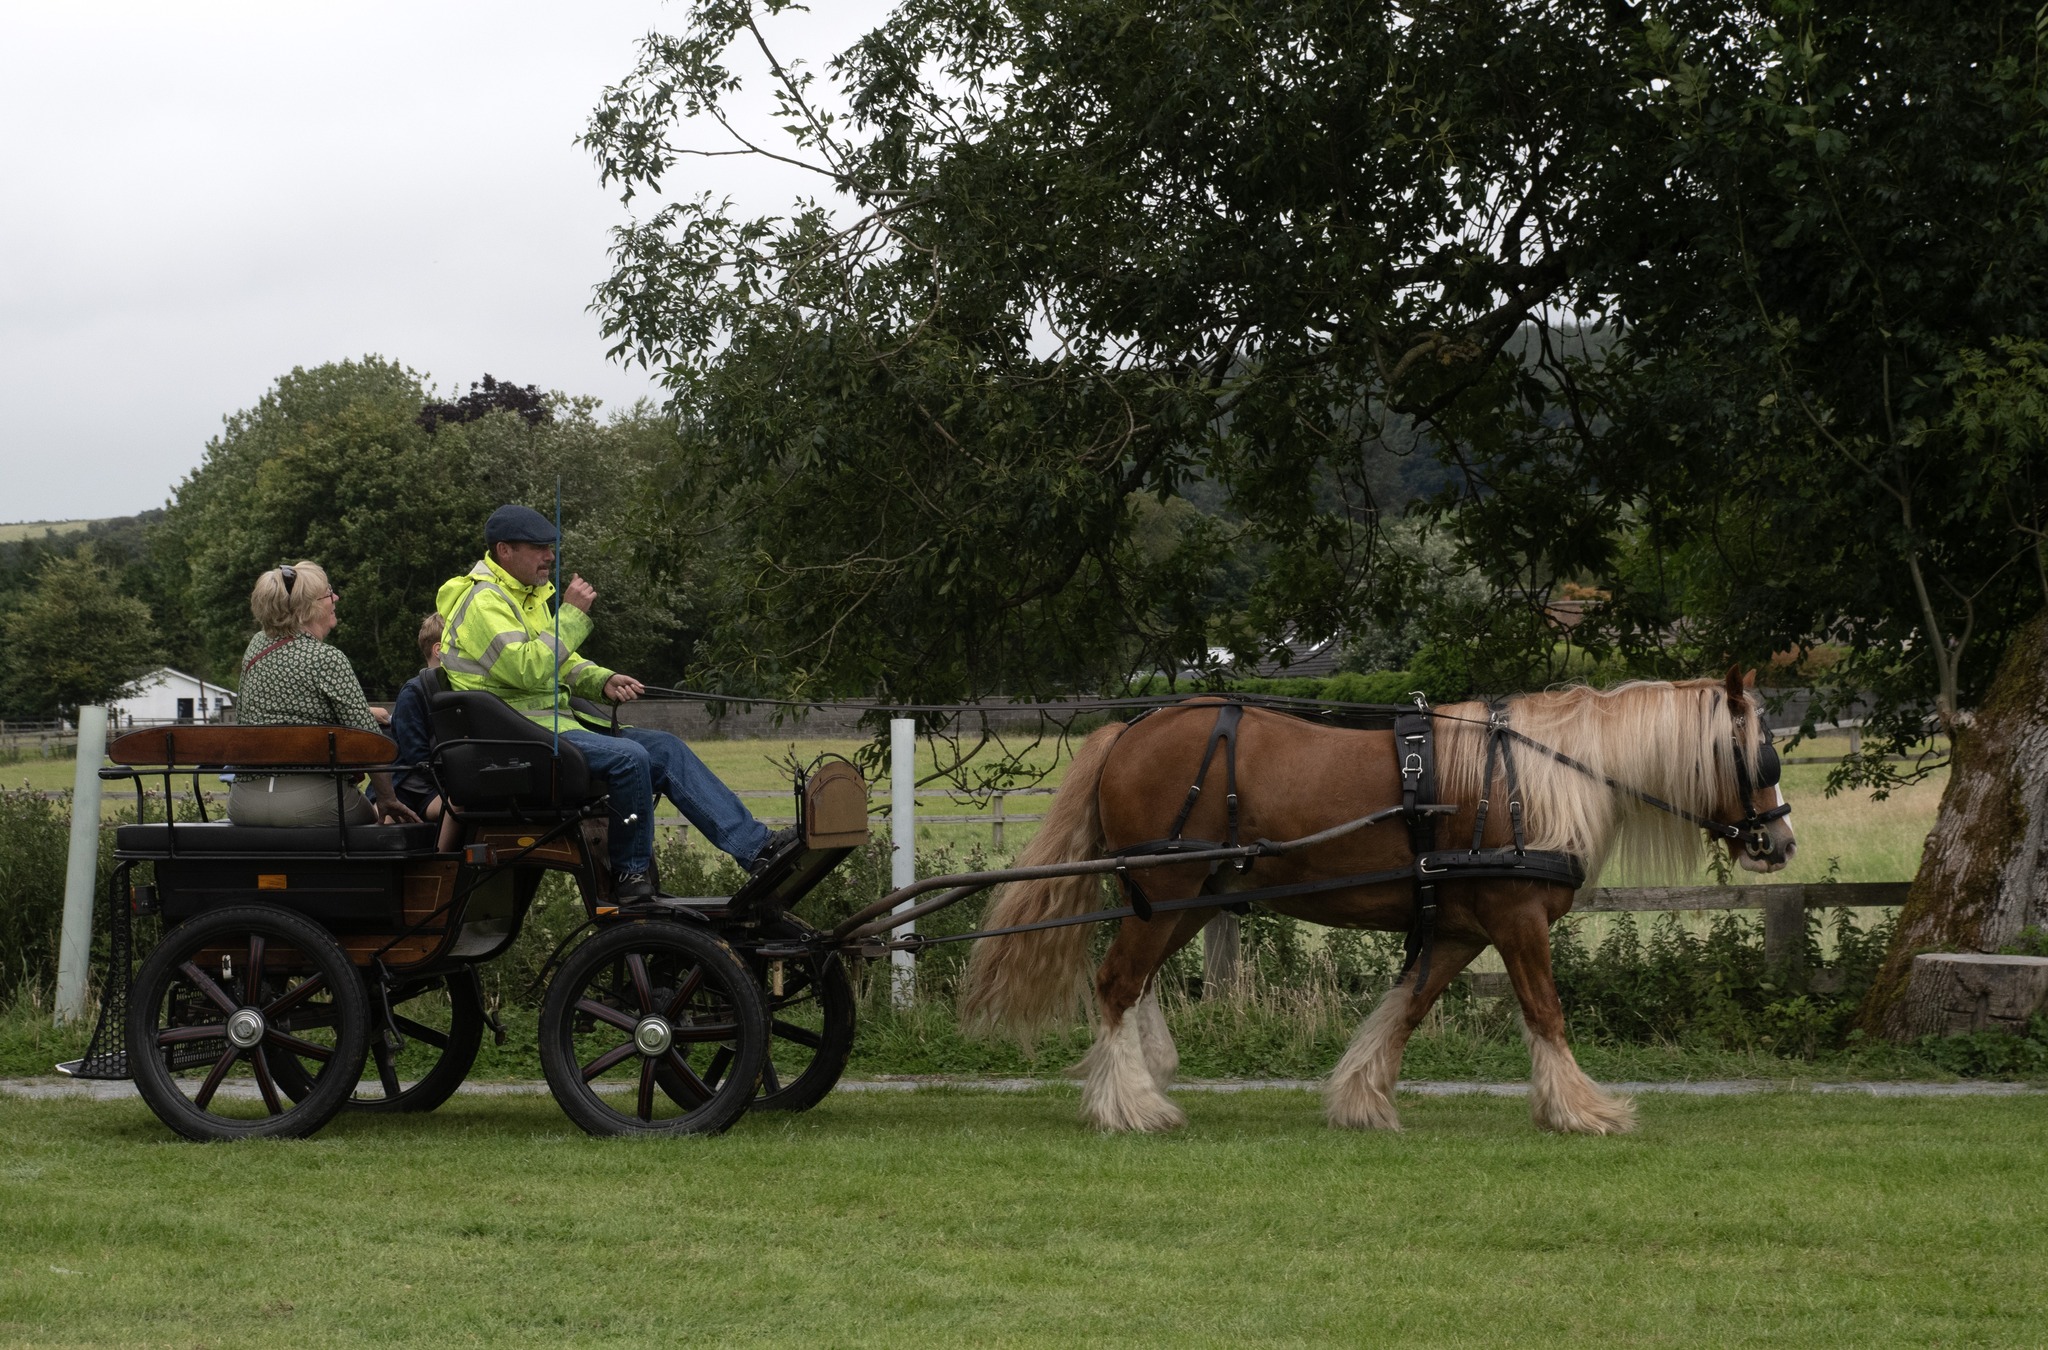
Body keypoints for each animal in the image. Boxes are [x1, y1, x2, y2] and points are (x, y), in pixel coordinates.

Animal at [959, 669, 1797, 1135]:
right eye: (1761, 755)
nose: (1781, 843)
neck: (1528, 782)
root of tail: (1129, 730)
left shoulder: (1458, 929)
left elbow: (1406, 1009)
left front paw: (1361, 1099)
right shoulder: (1517, 918)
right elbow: (1545, 1011)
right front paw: (1582, 1110)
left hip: (1188, 897)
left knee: (1135, 984)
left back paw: (1141, 1080)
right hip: (1169, 892)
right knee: (1115, 983)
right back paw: (1130, 1106)